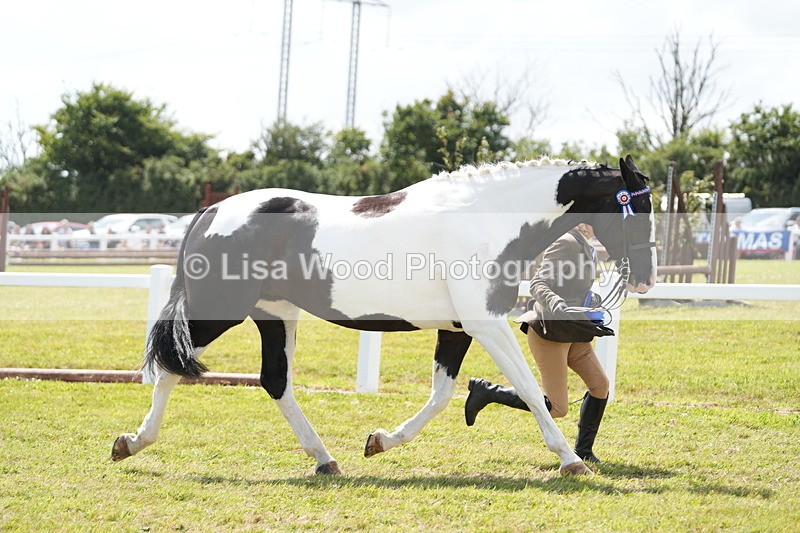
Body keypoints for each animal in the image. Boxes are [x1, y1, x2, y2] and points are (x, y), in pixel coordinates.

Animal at [112, 155, 656, 476]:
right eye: (639, 208)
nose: (647, 277)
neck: (482, 220)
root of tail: (212, 212)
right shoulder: (485, 322)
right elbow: (526, 386)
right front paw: (570, 460)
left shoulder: (458, 328)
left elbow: (442, 396)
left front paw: (380, 441)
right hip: (221, 311)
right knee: (171, 367)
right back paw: (131, 442)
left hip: (275, 315)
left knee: (275, 382)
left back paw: (325, 460)